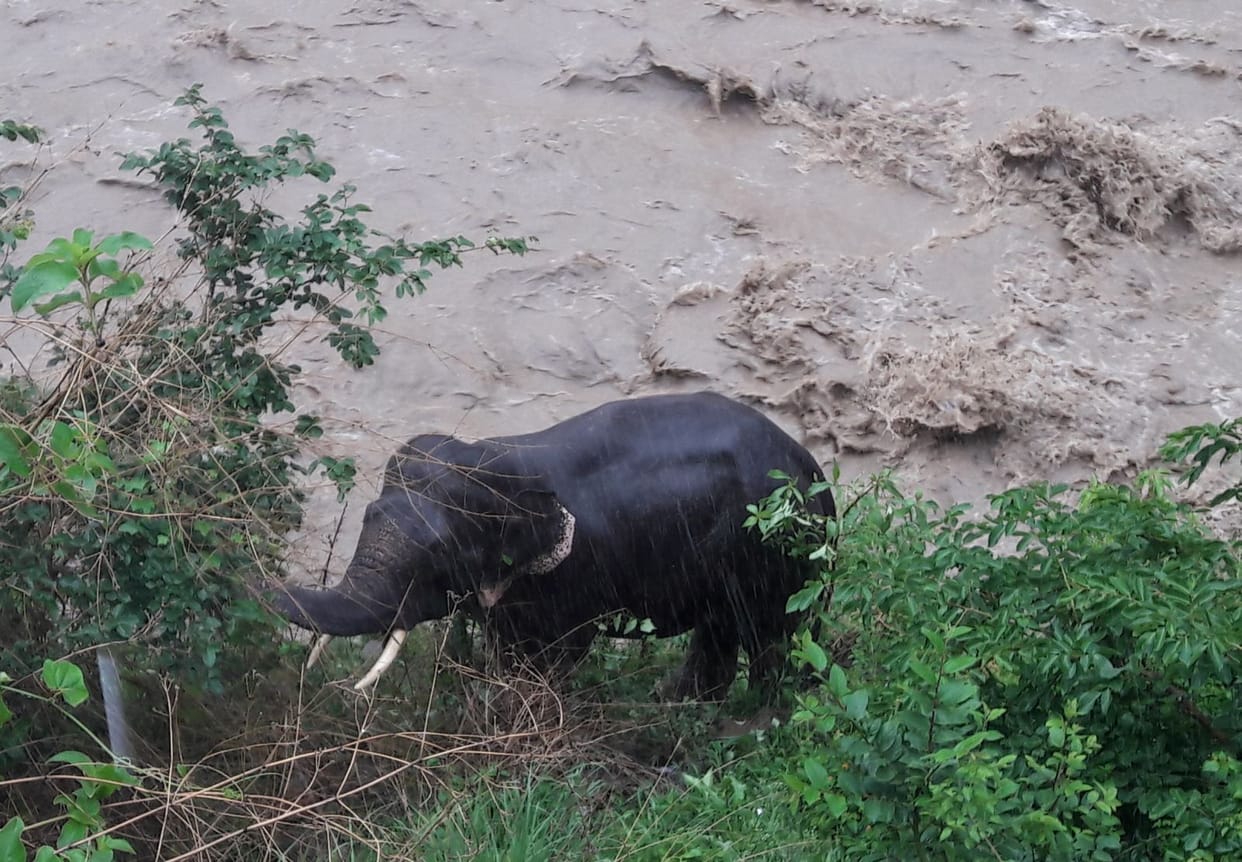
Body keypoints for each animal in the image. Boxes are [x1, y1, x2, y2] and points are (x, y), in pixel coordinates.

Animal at [273, 391, 834, 699]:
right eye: (368, 514)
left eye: (439, 552)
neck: (498, 458)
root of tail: (814, 470)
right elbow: (506, 643)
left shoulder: (576, 573)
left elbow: (558, 651)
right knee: (719, 631)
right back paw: (679, 705)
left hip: (783, 558)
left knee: (771, 638)